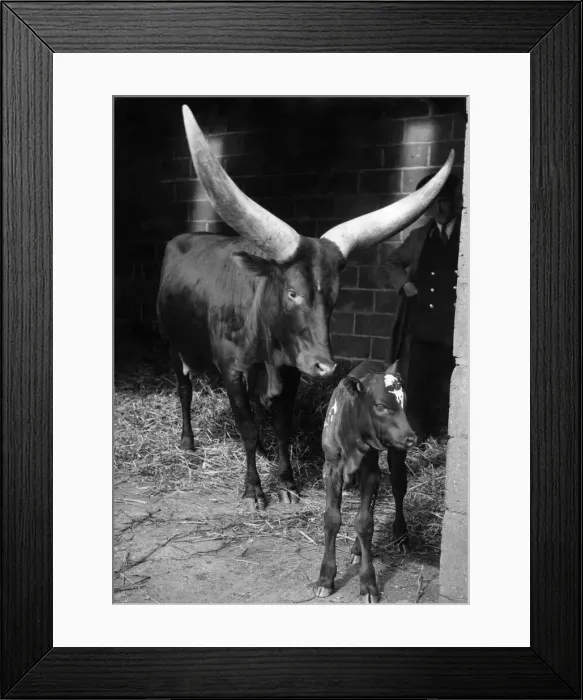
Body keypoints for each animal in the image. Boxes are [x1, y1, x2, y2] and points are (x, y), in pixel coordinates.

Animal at [157, 105, 453, 511]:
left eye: (334, 294)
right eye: (292, 293)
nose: (324, 366)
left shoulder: (291, 369)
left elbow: (282, 426)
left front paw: (285, 482)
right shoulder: (231, 370)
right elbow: (246, 426)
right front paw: (254, 490)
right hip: (173, 343)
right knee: (184, 389)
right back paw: (187, 442)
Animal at [316, 360, 416, 603]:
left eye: (404, 402)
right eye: (380, 405)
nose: (412, 437)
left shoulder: (371, 471)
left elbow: (364, 523)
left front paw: (368, 584)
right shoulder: (330, 467)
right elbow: (332, 518)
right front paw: (325, 578)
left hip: (396, 452)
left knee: (398, 487)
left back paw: (401, 536)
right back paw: (356, 550)